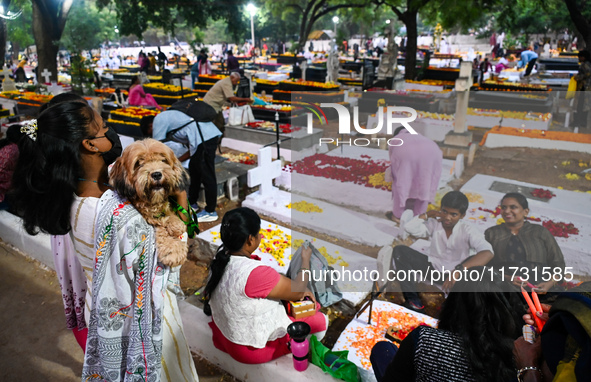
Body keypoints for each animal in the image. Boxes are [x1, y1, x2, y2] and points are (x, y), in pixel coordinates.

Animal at [110, 139, 191, 268]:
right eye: (138, 163)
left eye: (163, 160)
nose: (156, 174)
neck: (154, 203)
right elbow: (159, 226)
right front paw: (173, 249)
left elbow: (169, 213)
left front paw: (175, 223)